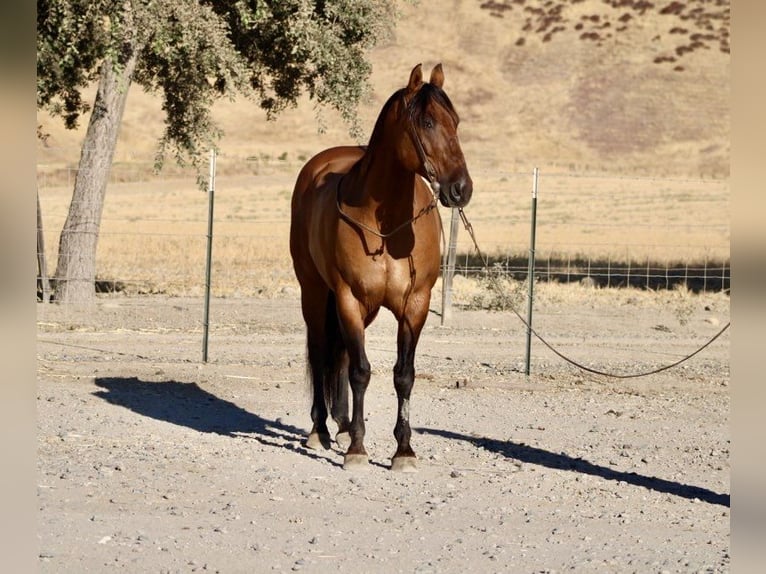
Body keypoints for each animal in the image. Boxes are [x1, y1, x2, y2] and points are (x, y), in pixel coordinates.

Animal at [289, 63, 473, 471]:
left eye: (455, 121)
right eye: (427, 122)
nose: (461, 189)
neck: (387, 226)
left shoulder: (415, 305)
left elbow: (403, 375)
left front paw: (403, 450)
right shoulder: (349, 299)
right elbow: (361, 371)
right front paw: (358, 449)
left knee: (340, 353)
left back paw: (342, 425)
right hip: (315, 292)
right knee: (322, 351)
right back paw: (321, 430)